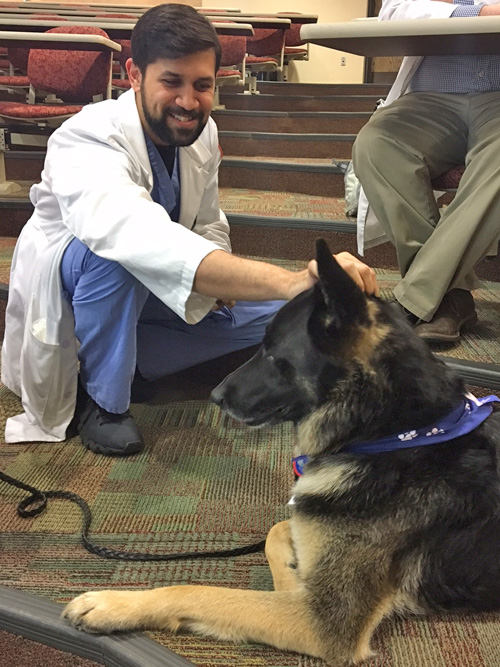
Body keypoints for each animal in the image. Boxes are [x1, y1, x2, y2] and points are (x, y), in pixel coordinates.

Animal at [64, 241, 500, 667]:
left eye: (273, 356)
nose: (215, 396)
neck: (392, 434)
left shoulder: (320, 621)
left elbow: (198, 591)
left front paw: (113, 605)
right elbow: (277, 531)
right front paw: (292, 569)